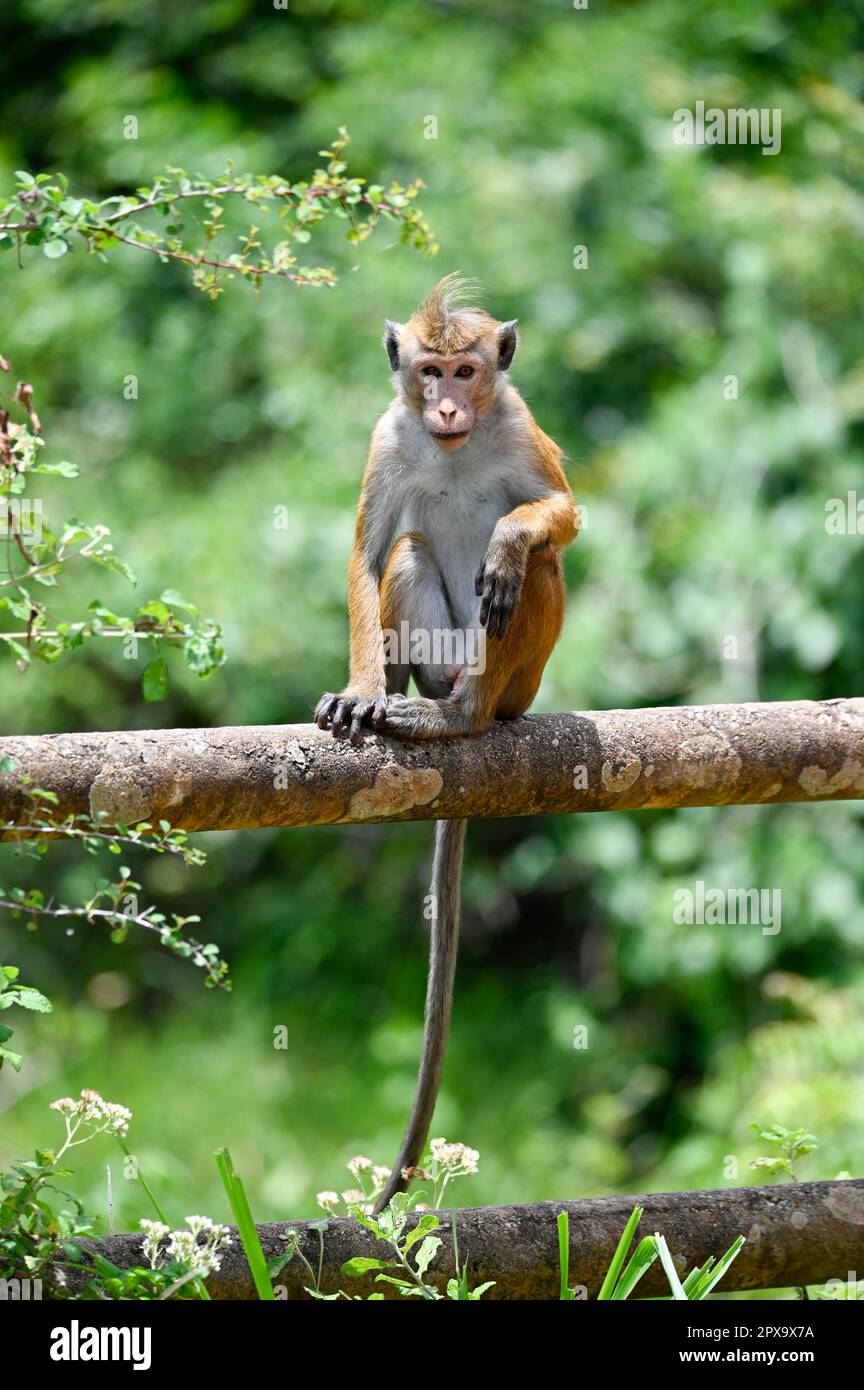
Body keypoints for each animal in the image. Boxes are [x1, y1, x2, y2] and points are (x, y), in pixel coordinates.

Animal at [315, 276, 577, 1212]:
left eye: (468, 370)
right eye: (429, 372)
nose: (451, 405)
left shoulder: (521, 419)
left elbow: (561, 515)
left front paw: (509, 540)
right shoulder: (387, 435)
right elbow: (366, 556)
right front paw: (361, 690)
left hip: (521, 678)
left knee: (535, 573)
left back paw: (465, 716)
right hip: (438, 655)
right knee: (411, 547)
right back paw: (402, 701)